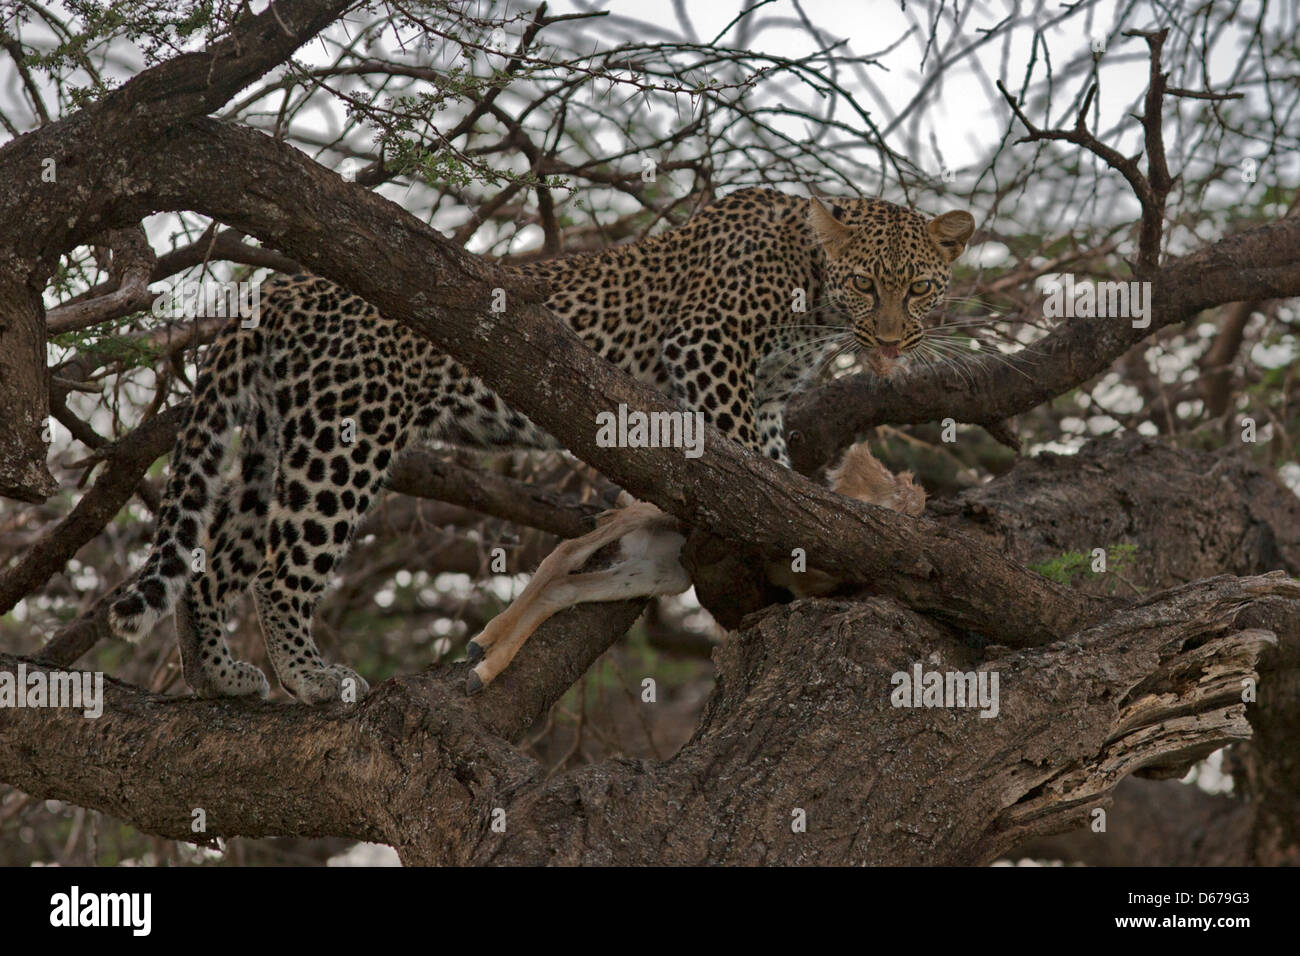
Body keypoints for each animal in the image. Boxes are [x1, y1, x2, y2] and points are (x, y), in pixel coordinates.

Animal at [106, 187, 972, 702]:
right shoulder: (708, 349)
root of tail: (282, 288)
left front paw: (800, 523)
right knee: (282, 567)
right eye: (866, 282)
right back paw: (311, 677)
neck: (816, 297)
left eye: (921, 286)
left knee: (214, 561)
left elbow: (774, 471)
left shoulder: (767, 397)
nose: (891, 341)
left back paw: (221, 675)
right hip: (344, 437)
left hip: (274, 437)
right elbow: (740, 456)